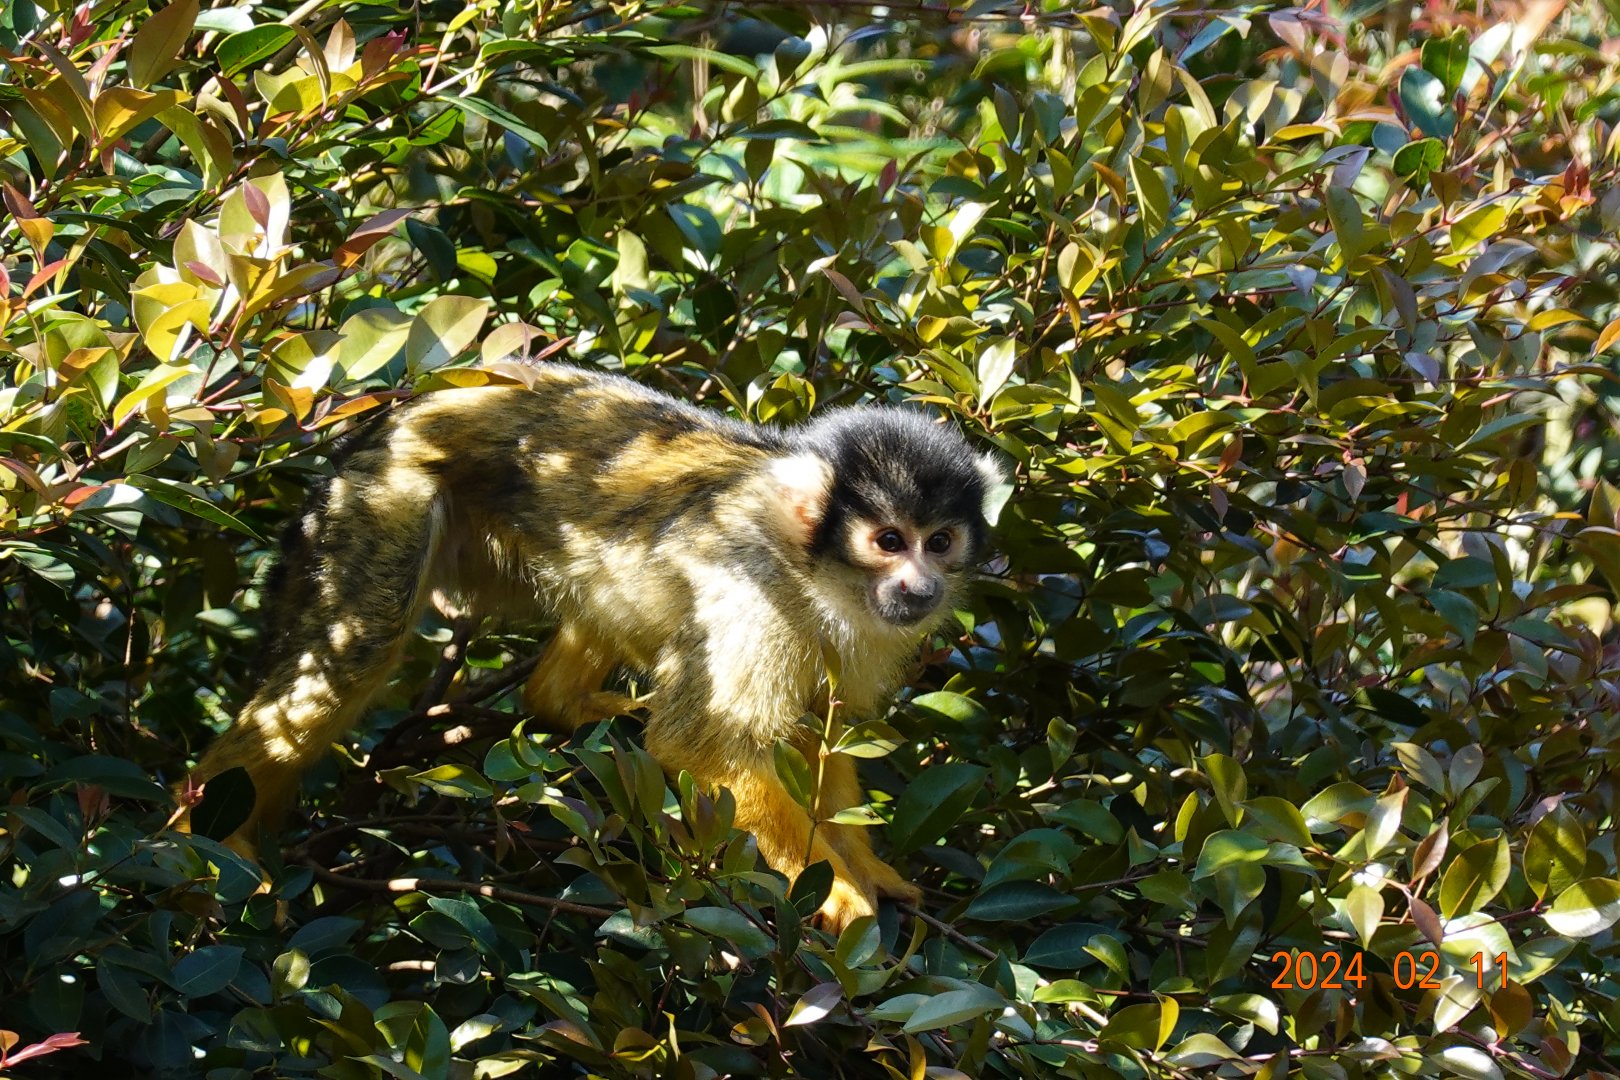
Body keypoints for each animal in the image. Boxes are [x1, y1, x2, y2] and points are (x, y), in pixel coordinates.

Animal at [186, 363, 1005, 931]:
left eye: (940, 542)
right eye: (889, 541)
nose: (921, 585)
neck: (817, 573)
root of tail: (391, 420)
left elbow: (820, 739)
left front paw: (867, 868)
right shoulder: (756, 585)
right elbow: (704, 741)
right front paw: (834, 891)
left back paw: (564, 704)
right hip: (385, 499)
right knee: (356, 647)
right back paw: (213, 845)